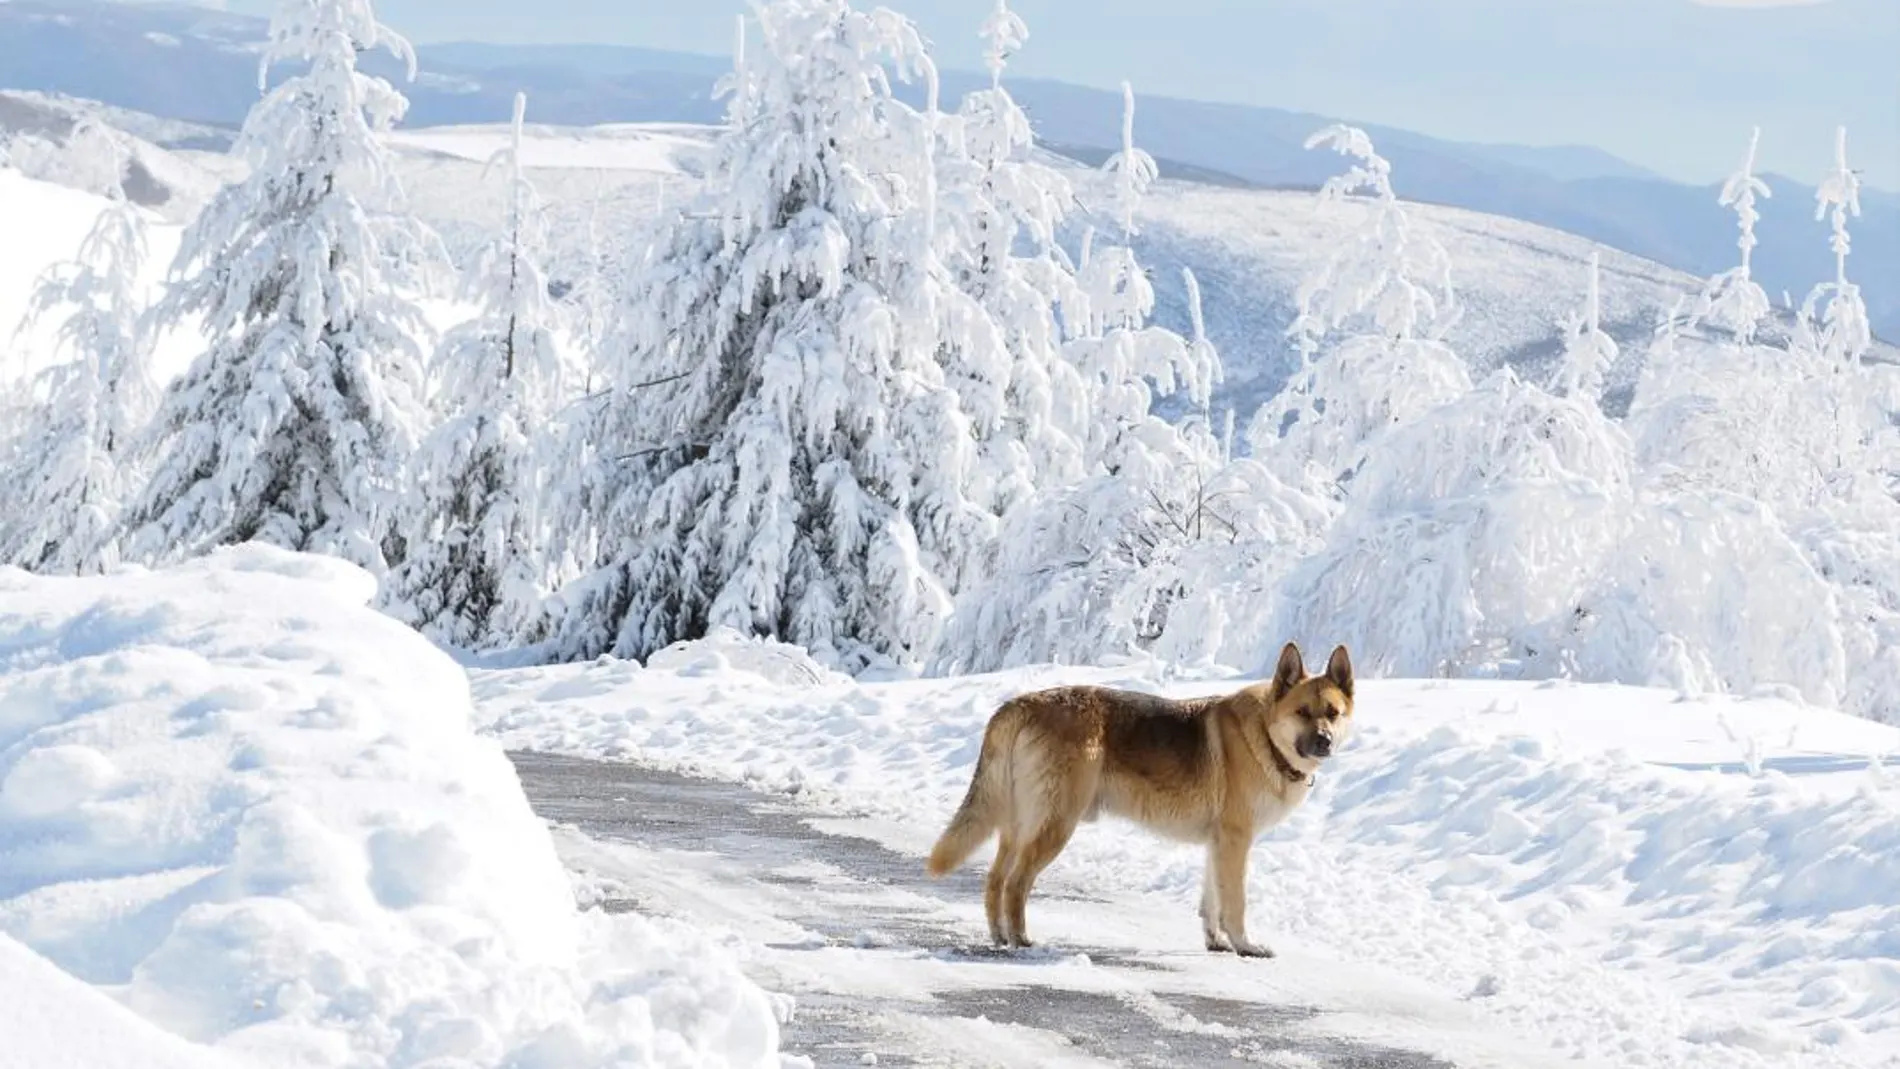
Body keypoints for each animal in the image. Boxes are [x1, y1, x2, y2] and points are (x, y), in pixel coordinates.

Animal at [919, 641, 1352, 956]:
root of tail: (1018, 705)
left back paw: (998, 938)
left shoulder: (1218, 844)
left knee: (994, 881)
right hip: (1055, 826)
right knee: (1015, 885)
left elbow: (1211, 902)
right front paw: (1245, 945)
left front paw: (1216, 943)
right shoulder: (1235, 842)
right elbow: (1235, 904)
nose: (1324, 742)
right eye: (1302, 712)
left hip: (1017, 825)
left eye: (1332, 712)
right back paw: (1021, 941)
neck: (1264, 735)